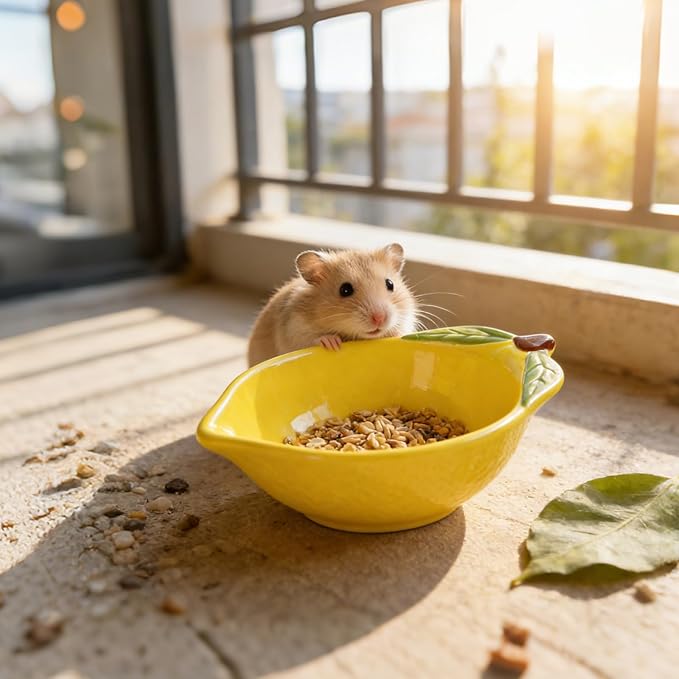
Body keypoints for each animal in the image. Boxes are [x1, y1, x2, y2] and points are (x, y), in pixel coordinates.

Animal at [247, 243, 418, 366]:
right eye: (345, 290)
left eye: (390, 284)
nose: (379, 319)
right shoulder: (294, 329)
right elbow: (312, 338)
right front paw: (332, 343)